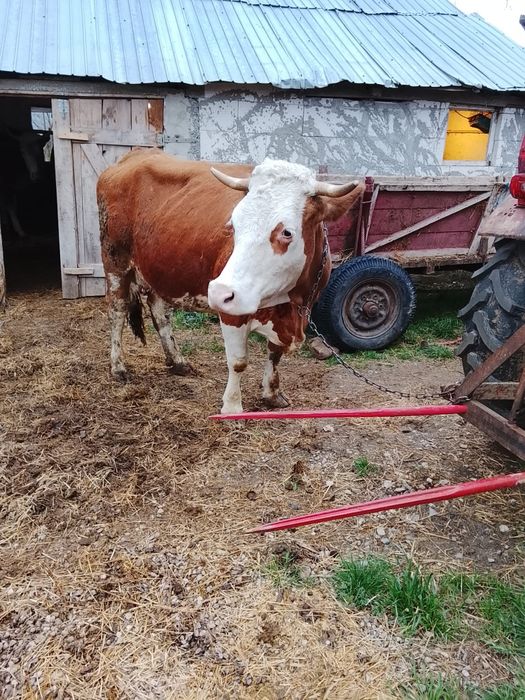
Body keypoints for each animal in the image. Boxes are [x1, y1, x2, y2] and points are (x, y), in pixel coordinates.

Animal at [97, 149, 363, 413]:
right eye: (233, 225)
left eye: (287, 232)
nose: (217, 292)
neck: (292, 305)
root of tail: (136, 154)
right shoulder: (231, 312)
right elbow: (238, 362)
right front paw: (232, 407)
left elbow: (274, 354)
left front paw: (272, 394)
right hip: (115, 261)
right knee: (117, 311)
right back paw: (118, 366)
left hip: (159, 269)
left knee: (160, 312)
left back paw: (177, 361)